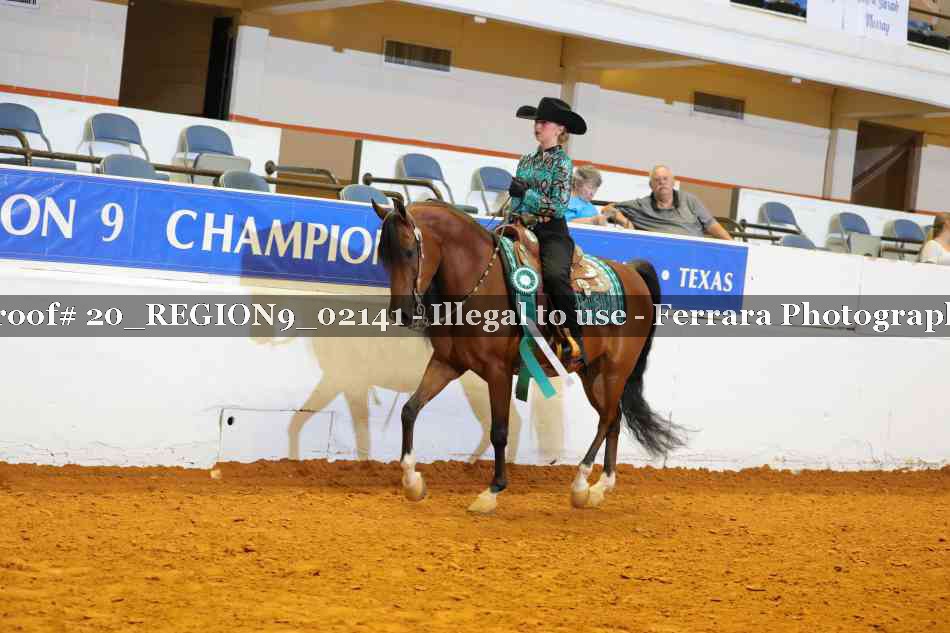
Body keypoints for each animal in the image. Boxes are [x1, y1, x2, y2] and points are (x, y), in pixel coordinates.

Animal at [372, 198, 685, 513]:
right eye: (384, 257)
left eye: (409, 252)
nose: (401, 313)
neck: (480, 281)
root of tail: (632, 272)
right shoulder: (447, 363)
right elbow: (409, 410)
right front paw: (412, 482)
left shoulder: (497, 371)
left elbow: (499, 430)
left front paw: (492, 491)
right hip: (592, 373)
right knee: (614, 419)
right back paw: (600, 487)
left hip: (615, 370)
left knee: (607, 419)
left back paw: (581, 484)